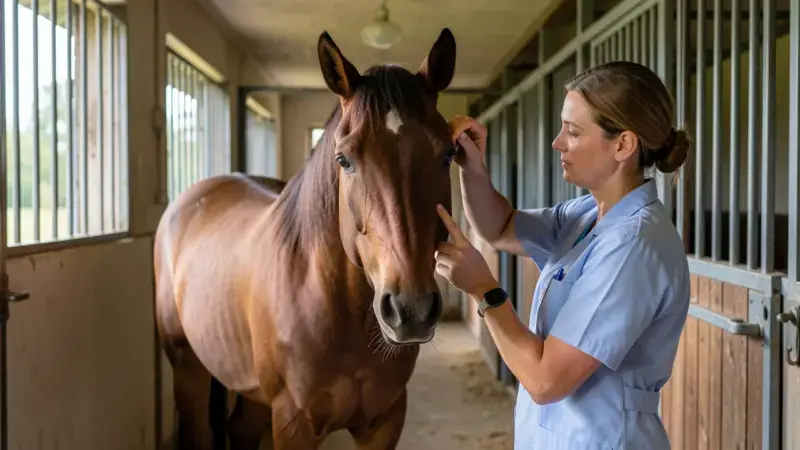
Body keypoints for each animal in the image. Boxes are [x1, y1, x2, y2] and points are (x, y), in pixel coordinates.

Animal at [154, 27, 459, 450]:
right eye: (344, 160)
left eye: (447, 155)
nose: (410, 309)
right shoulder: (294, 424)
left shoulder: (386, 421)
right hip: (188, 367)